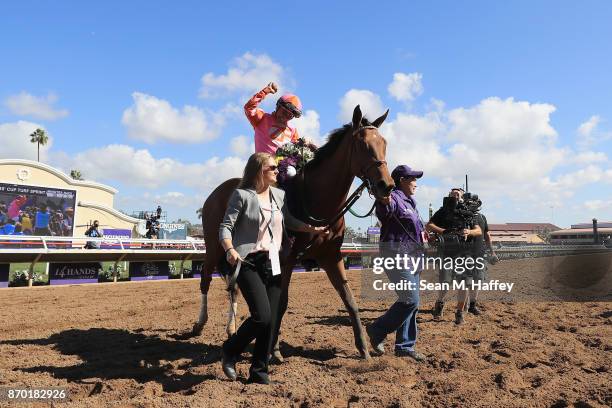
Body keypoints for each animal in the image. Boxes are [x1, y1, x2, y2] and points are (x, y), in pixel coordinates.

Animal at [192, 106, 392, 360]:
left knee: (233, 286)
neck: (315, 200)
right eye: (364, 144)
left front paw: (363, 348)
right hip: (214, 246)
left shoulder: (331, 256)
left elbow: (349, 297)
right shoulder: (285, 260)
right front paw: (274, 350)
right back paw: (199, 324)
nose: (387, 185)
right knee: (205, 279)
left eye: (384, 143)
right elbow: (281, 302)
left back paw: (231, 328)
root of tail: (216, 193)